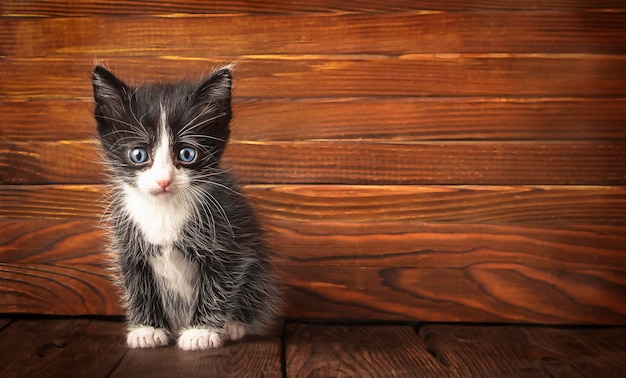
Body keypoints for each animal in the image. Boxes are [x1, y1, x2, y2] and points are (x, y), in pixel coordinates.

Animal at [91, 65, 280, 352]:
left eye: (187, 154)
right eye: (138, 155)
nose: (164, 180)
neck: (164, 210)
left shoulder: (228, 238)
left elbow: (220, 282)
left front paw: (202, 332)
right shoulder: (127, 243)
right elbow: (136, 282)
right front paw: (147, 329)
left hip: (258, 272)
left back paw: (233, 325)